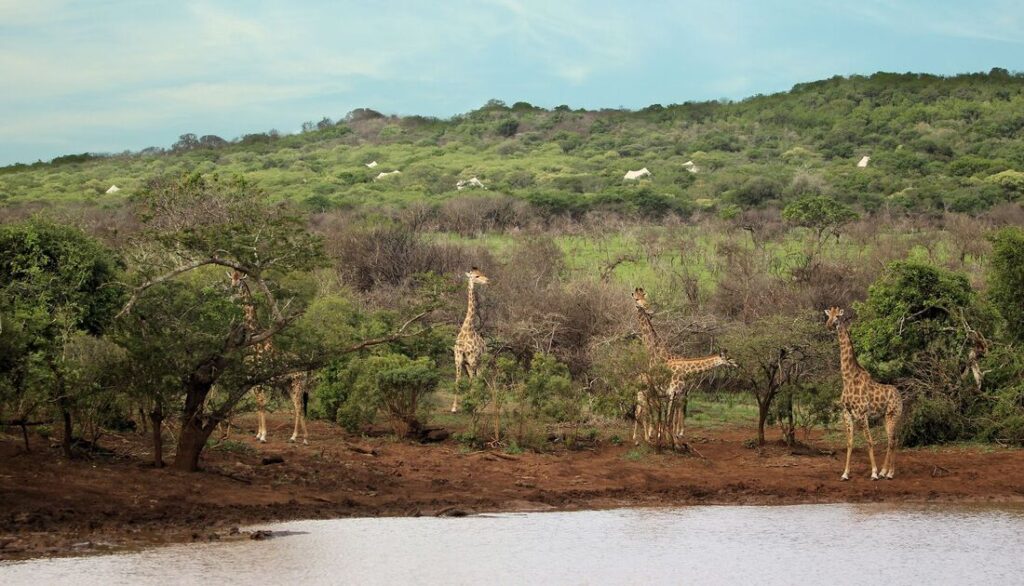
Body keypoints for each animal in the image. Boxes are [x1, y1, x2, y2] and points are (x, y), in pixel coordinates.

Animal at [231, 271, 310, 445]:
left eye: (240, 280)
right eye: (231, 278)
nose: (232, 288)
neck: (255, 337)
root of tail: (306, 368)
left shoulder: (260, 379)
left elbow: (262, 404)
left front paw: (263, 436)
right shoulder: (252, 379)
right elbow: (258, 404)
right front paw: (258, 434)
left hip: (298, 383)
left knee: (299, 405)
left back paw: (301, 438)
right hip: (288, 385)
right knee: (297, 406)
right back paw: (296, 437)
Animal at [451, 267, 490, 413]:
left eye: (483, 274)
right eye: (476, 276)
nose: (488, 280)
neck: (466, 330)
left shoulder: (472, 360)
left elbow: (472, 382)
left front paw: (471, 404)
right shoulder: (459, 360)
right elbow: (458, 381)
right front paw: (454, 407)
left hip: (481, 363)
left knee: (480, 379)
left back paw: (478, 404)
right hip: (469, 364)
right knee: (475, 379)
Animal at [631, 287, 737, 445]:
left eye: (645, 298)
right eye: (636, 299)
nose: (648, 308)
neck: (655, 349)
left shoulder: (667, 391)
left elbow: (664, 414)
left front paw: (660, 436)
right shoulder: (664, 390)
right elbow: (661, 413)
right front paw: (658, 435)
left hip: (675, 392)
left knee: (668, 411)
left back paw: (673, 435)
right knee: (652, 410)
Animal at [824, 307, 903, 480]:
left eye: (838, 316)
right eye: (828, 316)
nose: (829, 325)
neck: (848, 377)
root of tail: (900, 396)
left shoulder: (862, 413)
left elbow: (869, 441)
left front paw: (873, 473)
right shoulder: (846, 413)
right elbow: (849, 442)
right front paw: (845, 474)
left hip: (893, 414)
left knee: (893, 440)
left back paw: (890, 473)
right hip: (884, 417)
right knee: (891, 440)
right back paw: (885, 471)